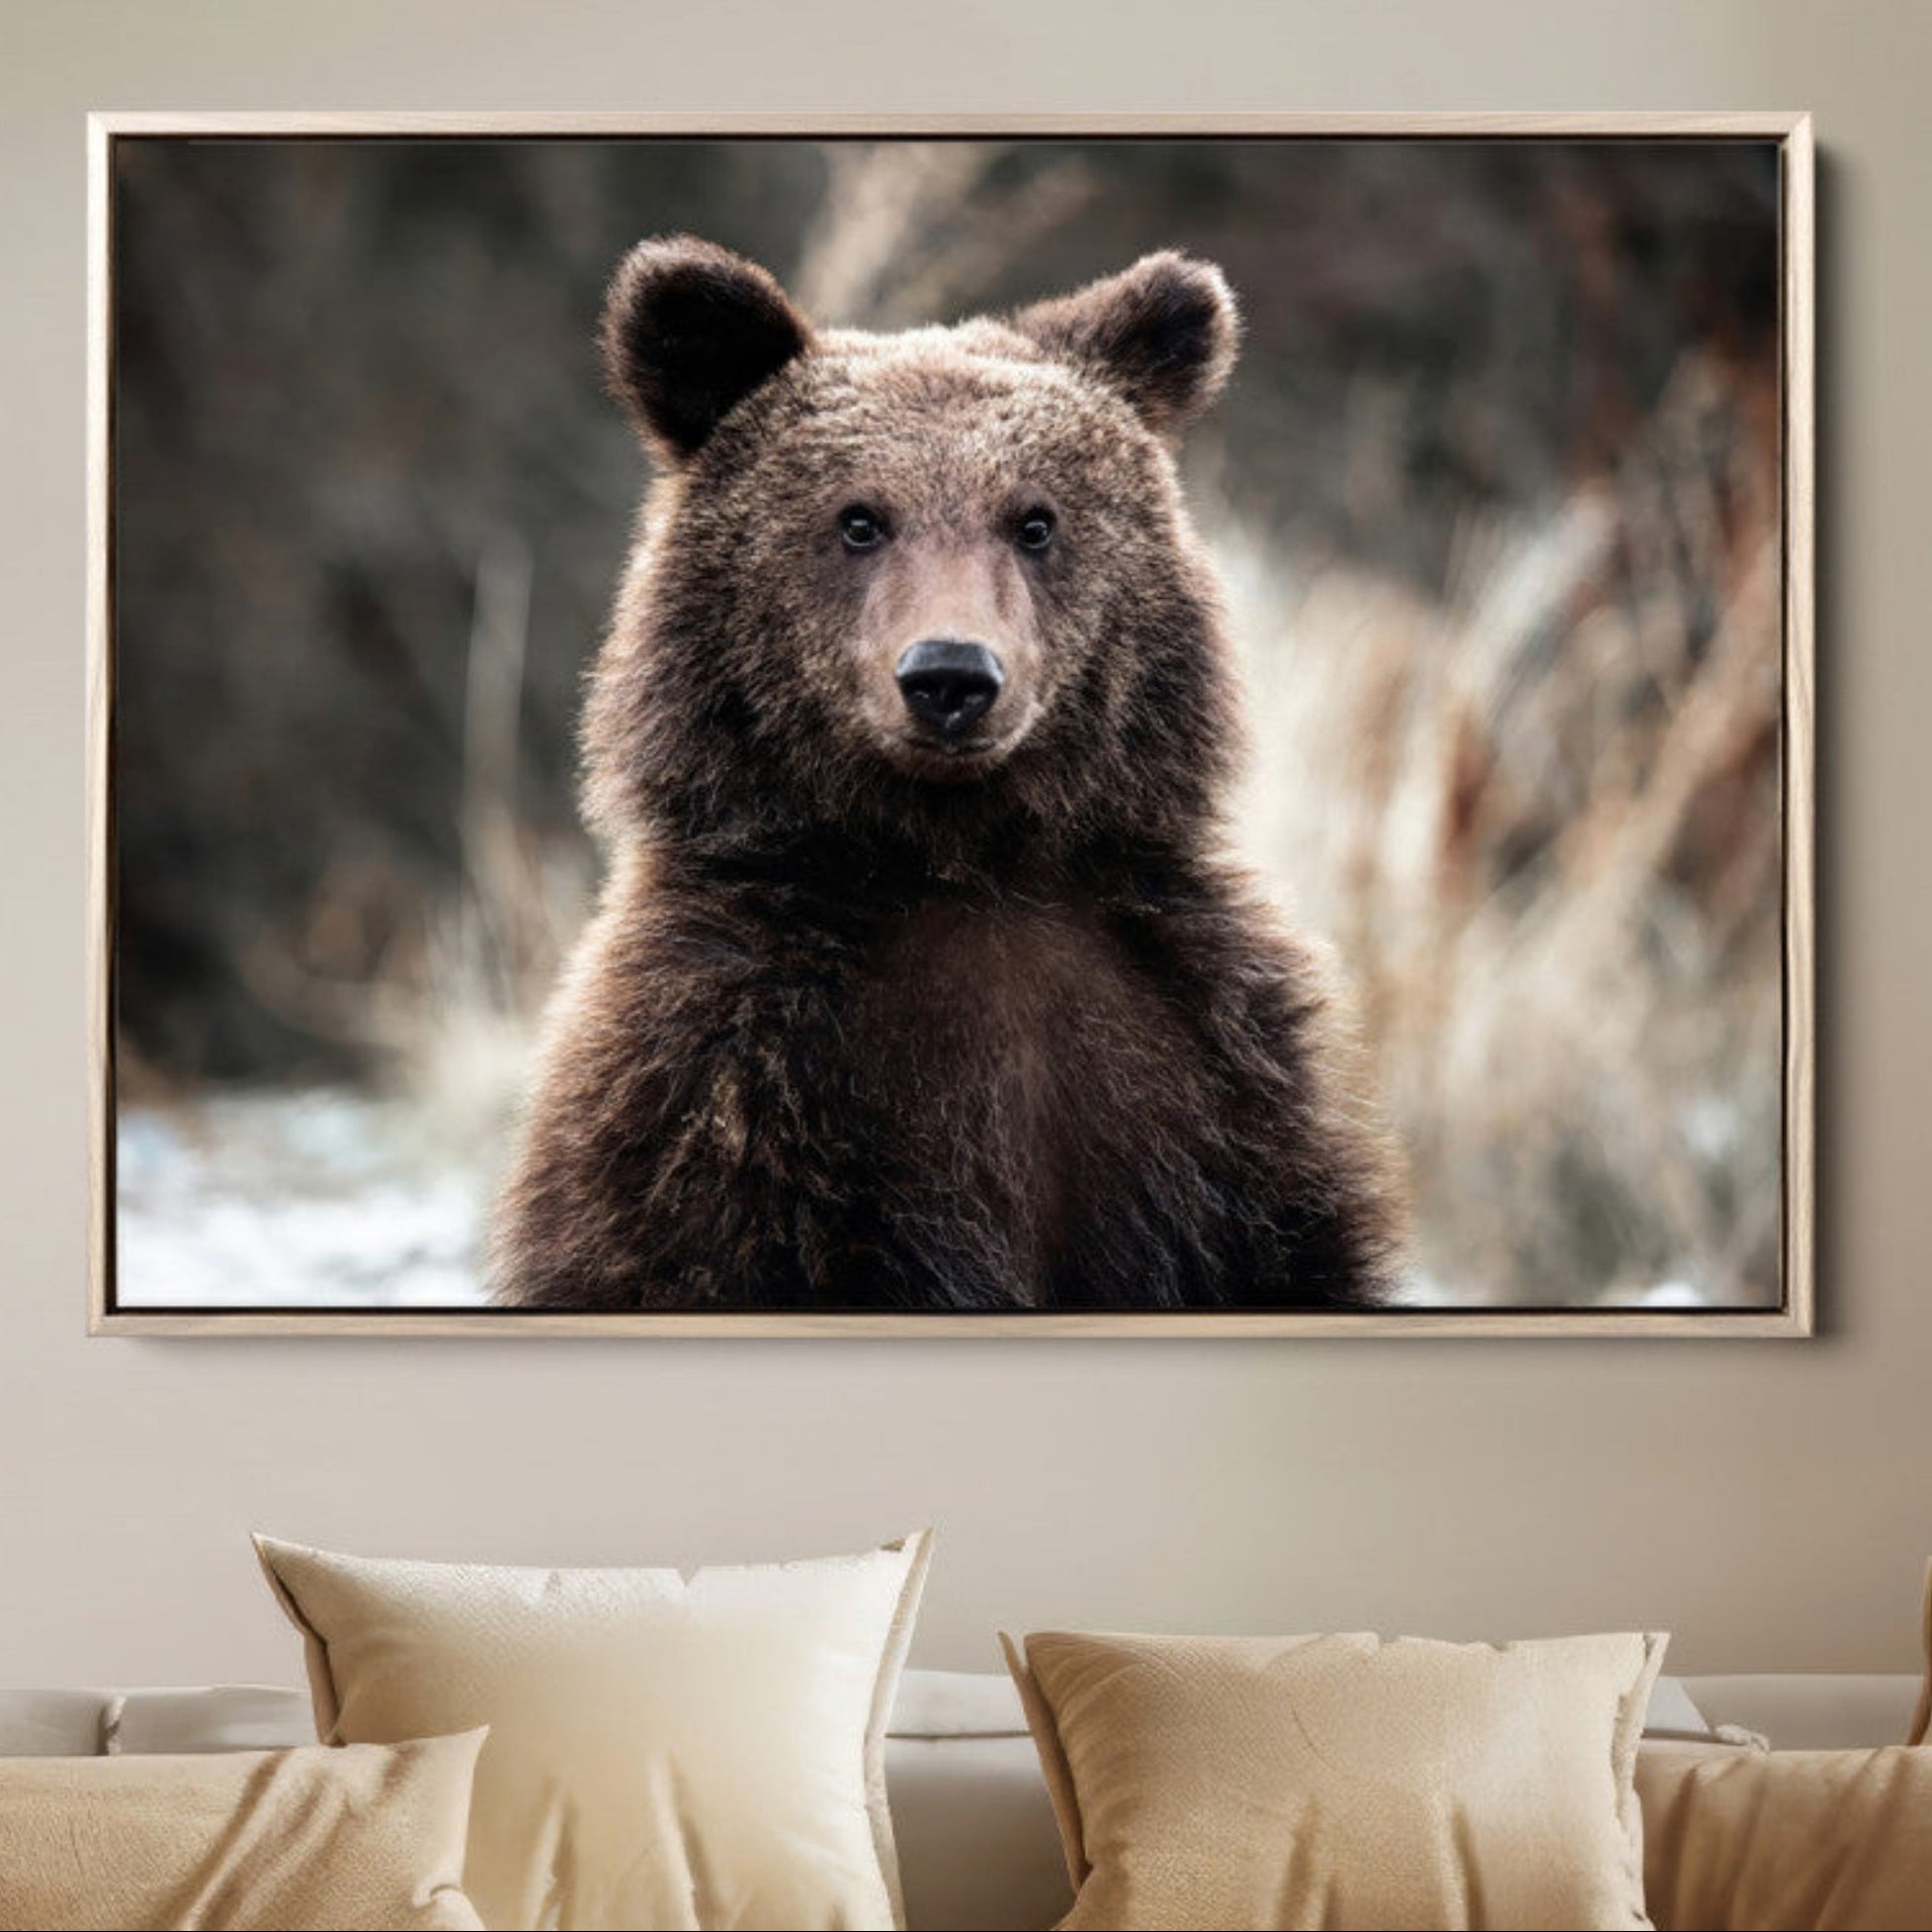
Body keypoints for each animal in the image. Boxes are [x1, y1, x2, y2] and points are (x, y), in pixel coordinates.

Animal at [489, 236, 1406, 1312]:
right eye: (857, 519)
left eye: (1034, 520)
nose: (950, 676)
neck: (962, 859)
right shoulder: (722, 1087)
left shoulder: (1211, 1081)